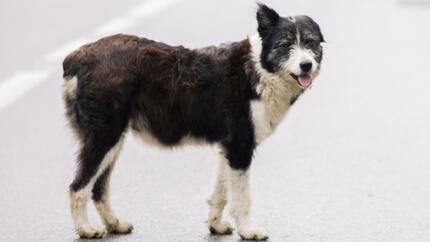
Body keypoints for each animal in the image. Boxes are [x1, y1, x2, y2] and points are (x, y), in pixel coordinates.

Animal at [62, 3, 324, 240]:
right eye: (285, 45)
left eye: (310, 43)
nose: (306, 65)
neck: (259, 69)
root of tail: (75, 59)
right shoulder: (240, 147)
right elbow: (241, 199)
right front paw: (248, 231)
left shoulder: (228, 148)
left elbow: (220, 193)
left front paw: (216, 225)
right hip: (104, 138)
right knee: (78, 187)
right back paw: (86, 229)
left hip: (112, 142)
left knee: (98, 188)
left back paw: (114, 224)